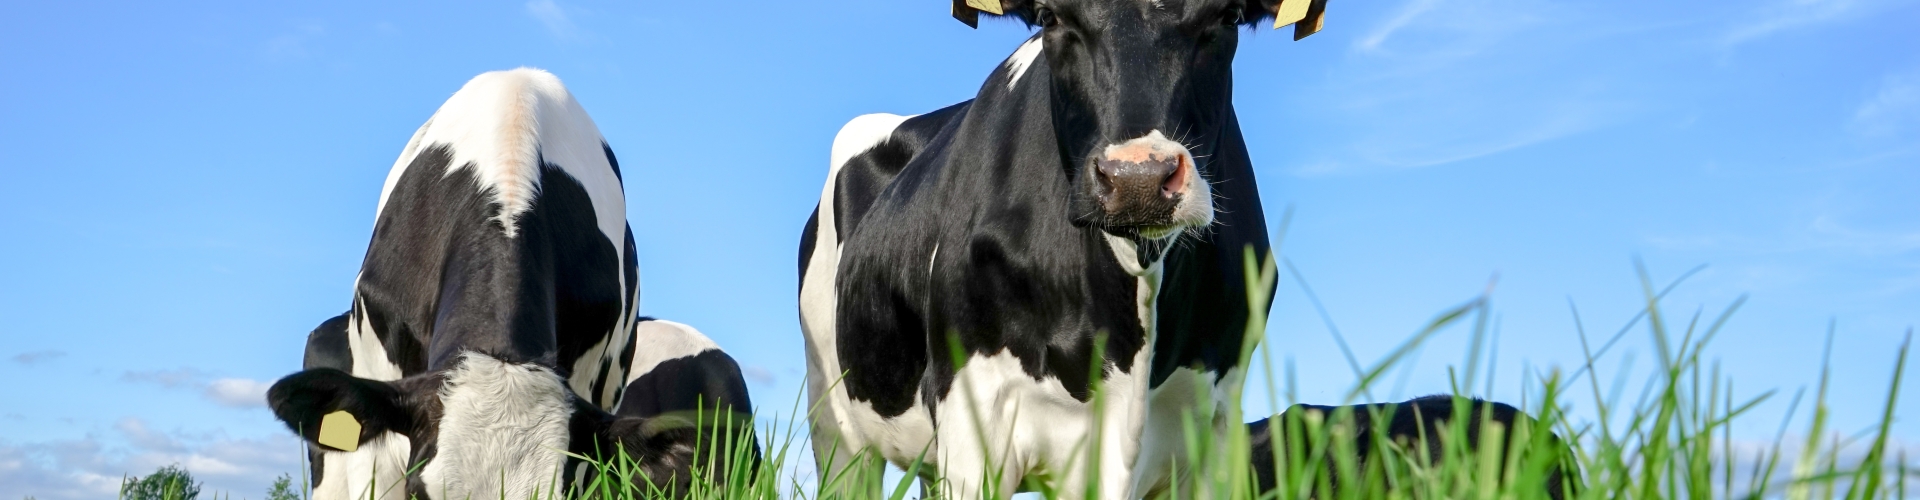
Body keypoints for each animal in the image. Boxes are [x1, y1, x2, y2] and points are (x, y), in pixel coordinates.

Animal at [797, 1, 1326, 497]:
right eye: (1050, 17)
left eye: (1229, 16)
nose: (1137, 179)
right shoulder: (972, 413)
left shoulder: (1214, 425)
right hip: (837, 427)